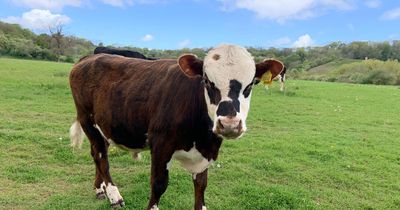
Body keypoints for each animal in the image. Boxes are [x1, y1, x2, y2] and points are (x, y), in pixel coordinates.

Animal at [69, 43, 282, 209]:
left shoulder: (206, 152)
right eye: (207, 81)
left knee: (97, 152)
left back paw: (100, 189)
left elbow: (201, 185)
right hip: (87, 119)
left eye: (250, 85)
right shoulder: (160, 145)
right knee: (100, 157)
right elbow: (159, 185)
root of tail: (89, 57)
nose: (229, 124)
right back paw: (114, 195)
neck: (202, 137)